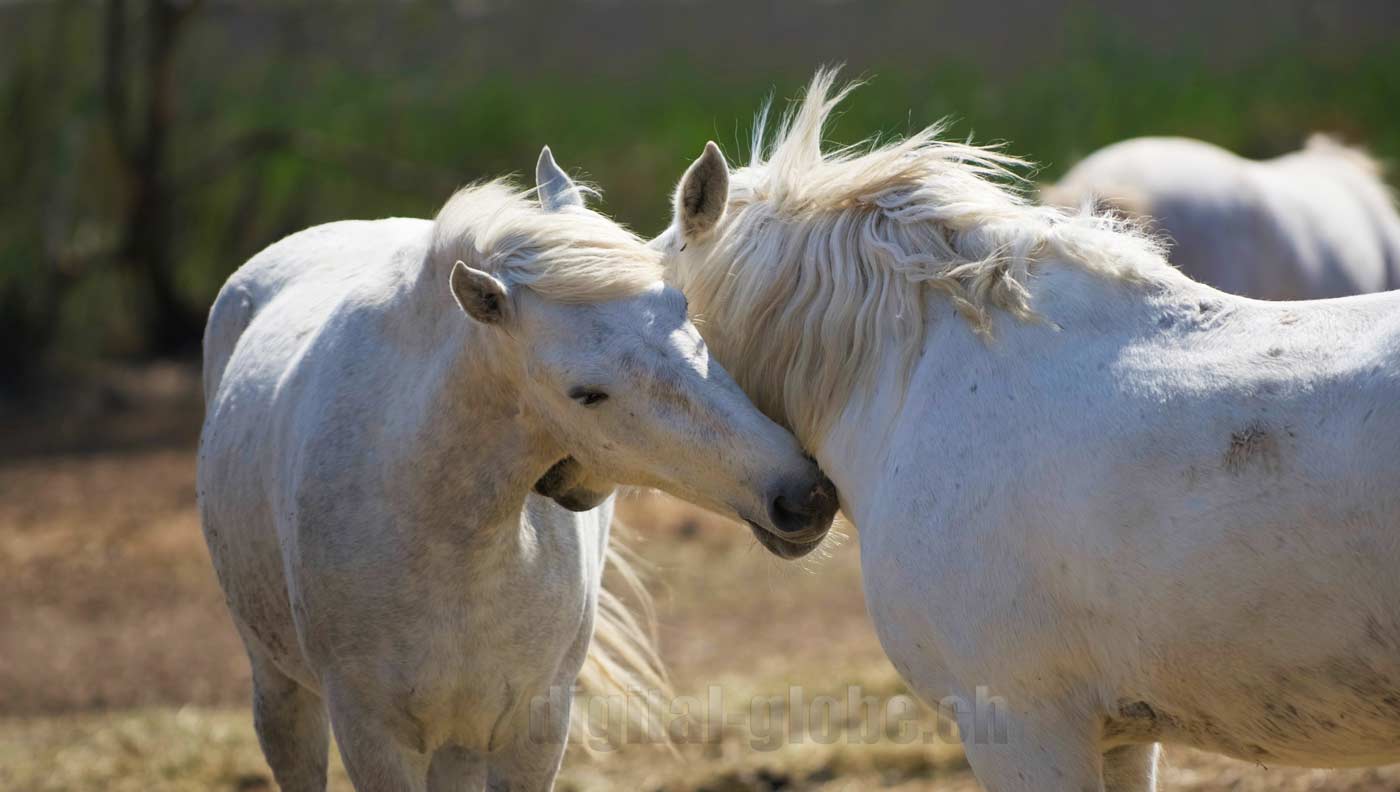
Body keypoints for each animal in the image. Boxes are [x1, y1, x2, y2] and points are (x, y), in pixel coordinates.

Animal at [196, 150, 828, 792]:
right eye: (586, 394)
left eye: (687, 311)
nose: (801, 493)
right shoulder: (371, 735)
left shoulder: (533, 729)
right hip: (281, 689)